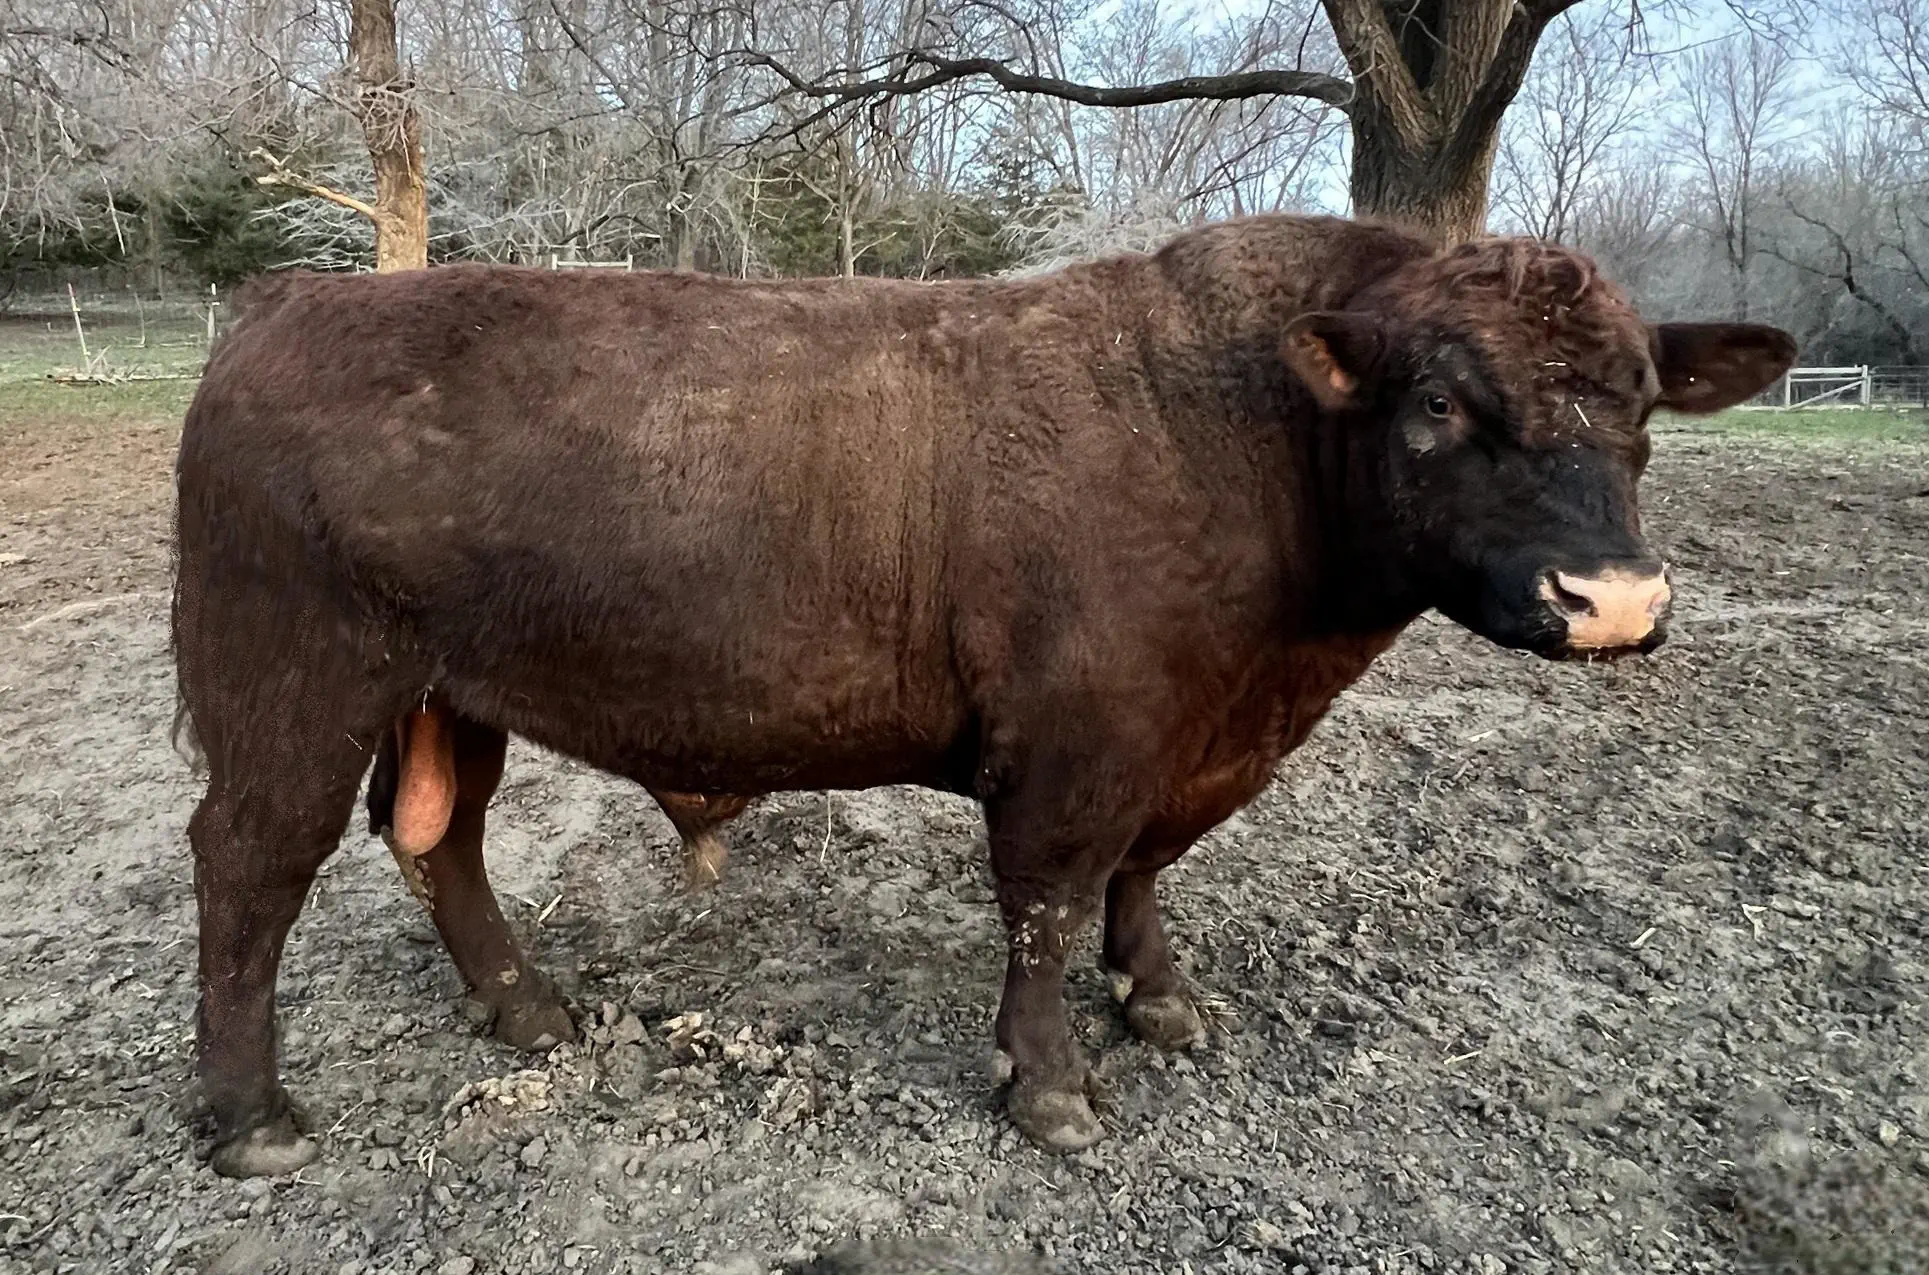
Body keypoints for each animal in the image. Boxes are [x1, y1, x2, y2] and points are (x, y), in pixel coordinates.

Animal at [171, 214, 1794, 1177]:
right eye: (1442, 402)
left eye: (1641, 402)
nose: (1613, 602)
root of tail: (288, 304)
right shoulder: (1077, 740)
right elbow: (1049, 896)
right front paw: (1053, 1084)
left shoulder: (1180, 737)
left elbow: (1146, 872)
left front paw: (1162, 998)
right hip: (290, 688)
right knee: (250, 866)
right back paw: (252, 1118)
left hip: (449, 694)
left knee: (437, 837)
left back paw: (528, 1009)